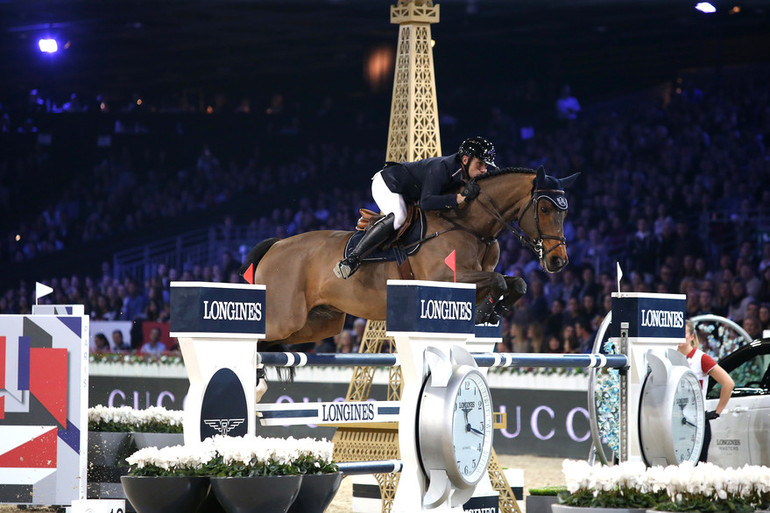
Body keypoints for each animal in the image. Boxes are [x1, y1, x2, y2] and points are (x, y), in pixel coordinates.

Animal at [240, 168, 576, 344]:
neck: (469, 224)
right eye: (544, 208)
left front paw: (492, 312)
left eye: (565, 210)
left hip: (319, 323)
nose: (558, 261)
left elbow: (515, 283)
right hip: (284, 318)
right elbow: (499, 280)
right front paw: (486, 312)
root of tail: (276, 246)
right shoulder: (445, 278)